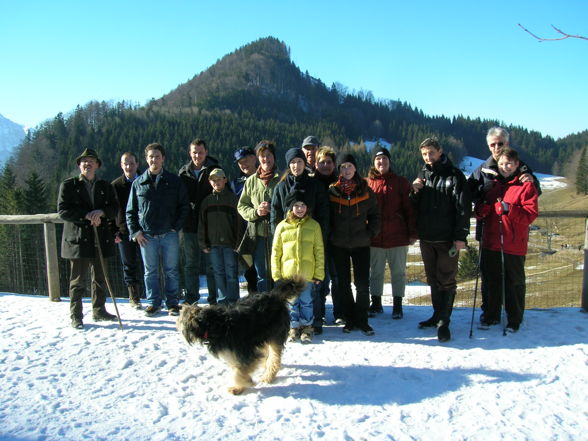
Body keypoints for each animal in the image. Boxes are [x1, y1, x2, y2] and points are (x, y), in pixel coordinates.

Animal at [176, 276, 306, 396]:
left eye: (181, 318)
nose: (176, 322)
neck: (214, 324)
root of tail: (276, 297)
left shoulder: (246, 353)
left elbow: (238, 372)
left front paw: (242, 385)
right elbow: (238, 368)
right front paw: (242, 384)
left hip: (275, 334)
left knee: (274, 359)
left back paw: (267, 376)